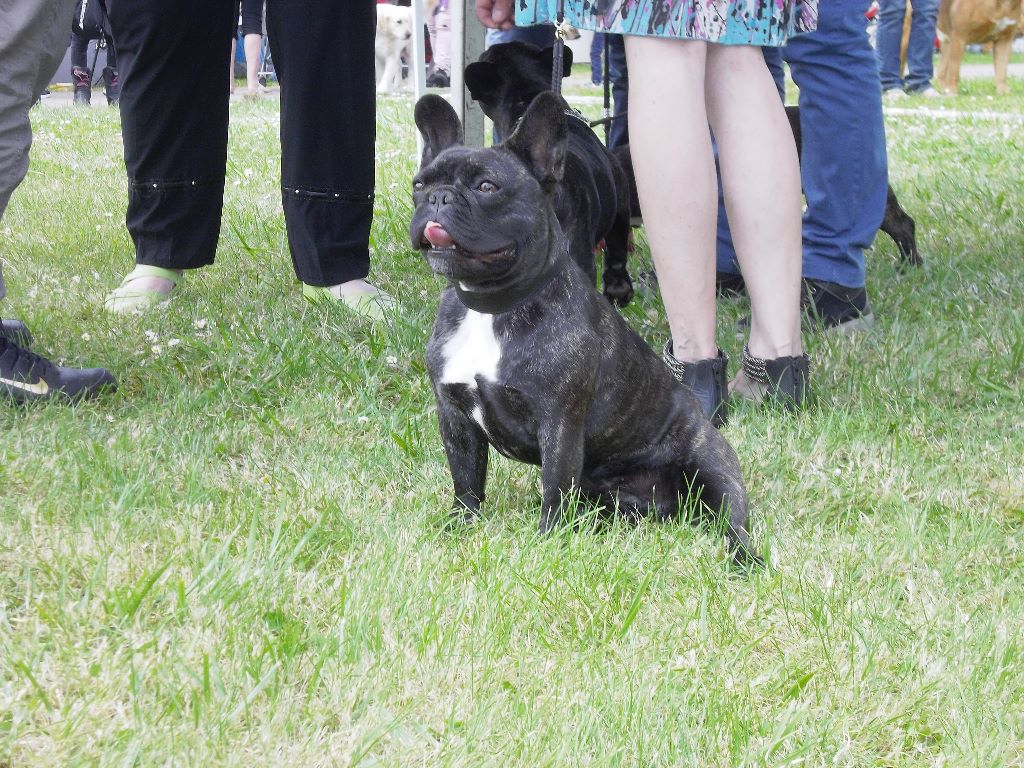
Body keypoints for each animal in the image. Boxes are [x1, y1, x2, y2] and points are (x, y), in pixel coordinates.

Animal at [409, 93, 761, 569]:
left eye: (486, 187)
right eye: (419, 185)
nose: (438, 198)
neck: (490, 305)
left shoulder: (559, 420)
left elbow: (555, 486)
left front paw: (546, 540)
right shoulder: (454, 415)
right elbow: (466, 478)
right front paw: (458, 525)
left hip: (714, 467)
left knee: (732, 520)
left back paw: (743, 558)